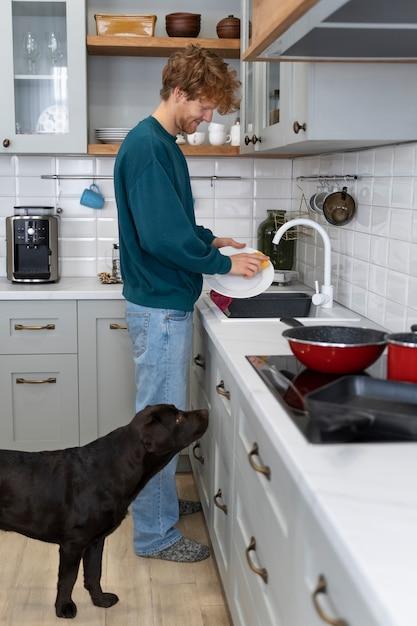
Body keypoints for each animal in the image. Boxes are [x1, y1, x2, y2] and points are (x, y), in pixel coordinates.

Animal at [0, 404, 208, 616]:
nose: (206, 411)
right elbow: (68, 579)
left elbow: (94, 573)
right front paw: (64, 608)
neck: (115, 468)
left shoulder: (95, 540)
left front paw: (100, 600)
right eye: (179, 419)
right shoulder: (72, 544)